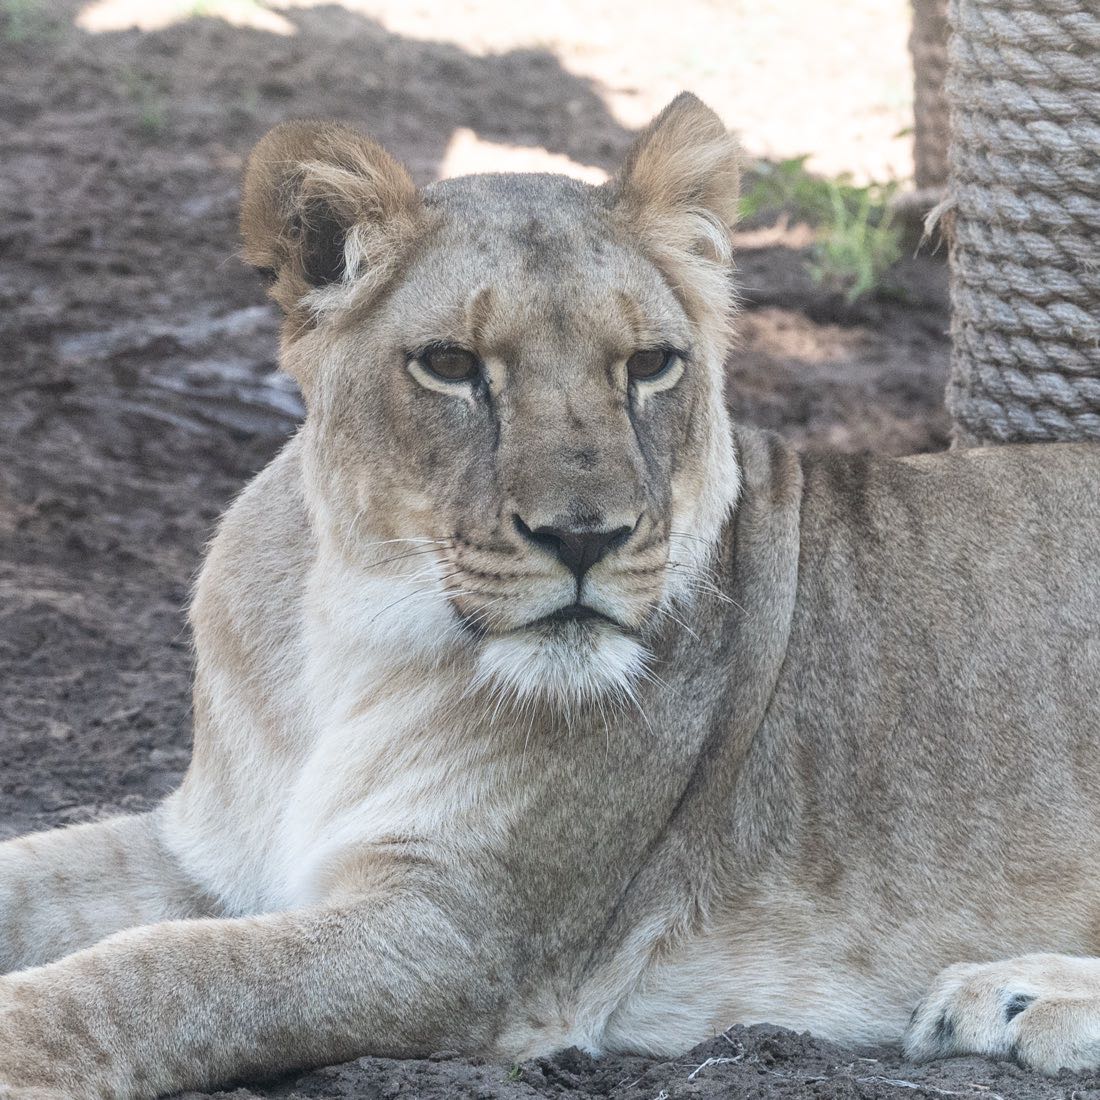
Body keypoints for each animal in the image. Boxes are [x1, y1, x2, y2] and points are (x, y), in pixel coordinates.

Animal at [2, 93, 1100, 1098]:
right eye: (450, 365)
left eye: (651, 364)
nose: (585, 538)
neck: (346, 632)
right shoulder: (207, 853)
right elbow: (38, 879)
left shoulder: (460, 942)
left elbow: (160, 974)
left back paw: (1011, 996)